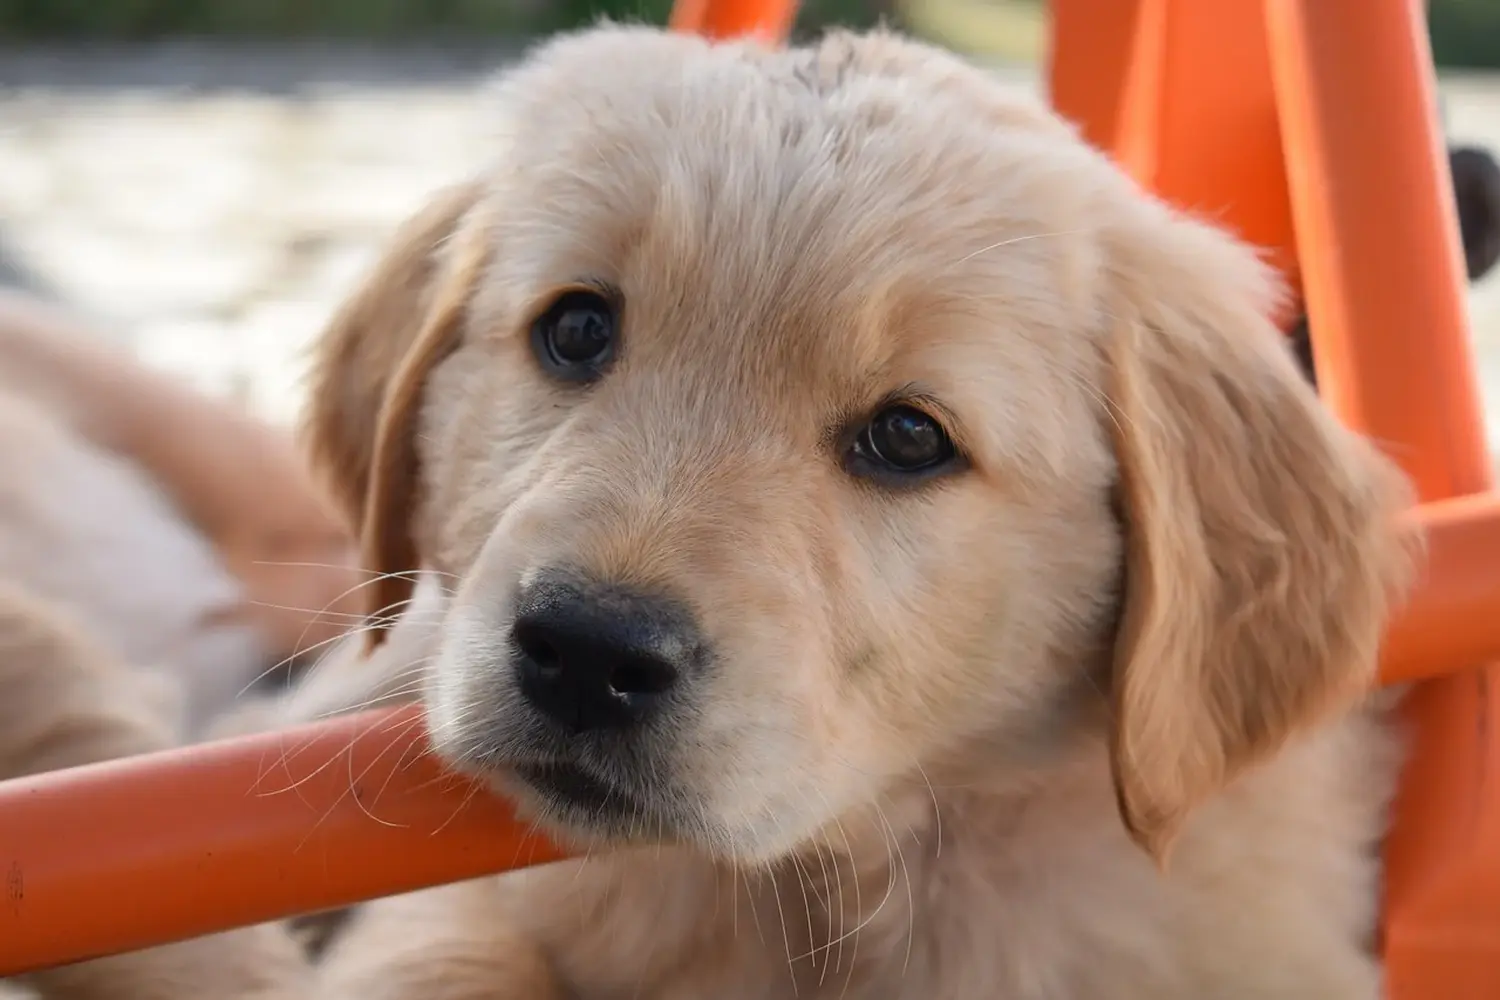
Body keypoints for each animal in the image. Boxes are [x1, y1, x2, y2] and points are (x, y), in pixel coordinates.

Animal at [292, 27, 1416, 995]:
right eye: (574, 329)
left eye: (910, 438)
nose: (587, 650)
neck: (831, 886)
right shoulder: (463, 906)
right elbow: (443, 958)